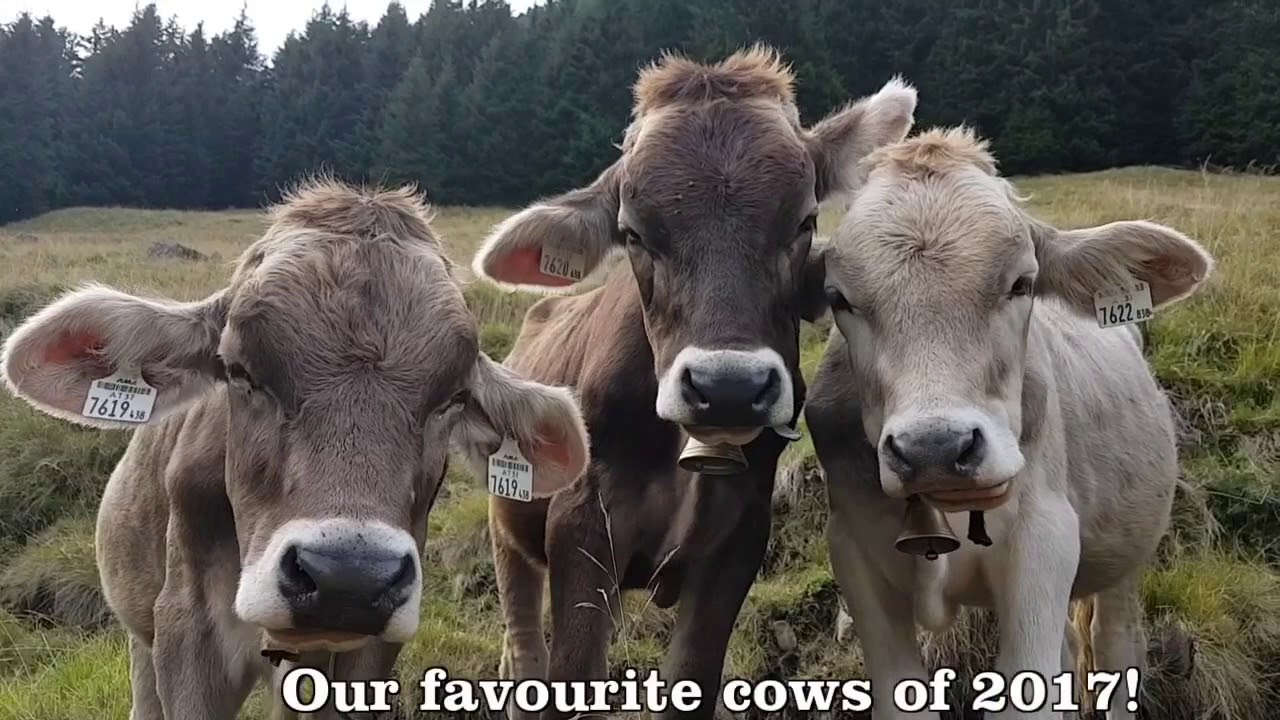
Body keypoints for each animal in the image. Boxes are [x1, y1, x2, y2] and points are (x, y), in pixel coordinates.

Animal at [0, 178, 591, 720]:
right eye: (239, 370)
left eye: (453, 396)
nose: (347, 578)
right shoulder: (186, 629)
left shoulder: (370, 649)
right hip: (141, 637)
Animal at [468, 46, 917, 719]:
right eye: (632, 233)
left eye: (805, 220)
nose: (728, 386)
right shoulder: (581, 527)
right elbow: (571, 674)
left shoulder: (738, 542)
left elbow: (693, 676)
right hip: (509, 523)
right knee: (523, 641)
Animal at [803, 126, 1214, 719]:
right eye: (839, 298)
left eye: (1023, 282)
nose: (934, 448)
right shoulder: (854, 550)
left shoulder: (1043, 538)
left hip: (1126, 551)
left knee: (1116, 646)